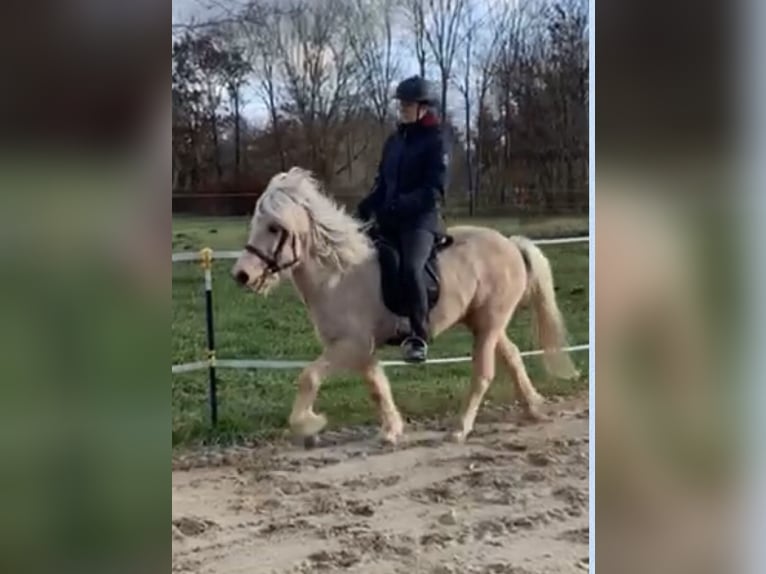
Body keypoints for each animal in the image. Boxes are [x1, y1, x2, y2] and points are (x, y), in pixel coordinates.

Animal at [231, 167, 579, 445]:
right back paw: (533, 408)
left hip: (489, 324)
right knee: (513, 356)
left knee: (483, 373)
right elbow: (378, 387)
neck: (338, 275)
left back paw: (460, 429)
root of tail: (510, 243)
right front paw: (391, 430)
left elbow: (309, 377)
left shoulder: (350, 346)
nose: (242, 275)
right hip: (483, 322)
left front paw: (310, 424)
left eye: (274, 228)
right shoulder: (363, 350)